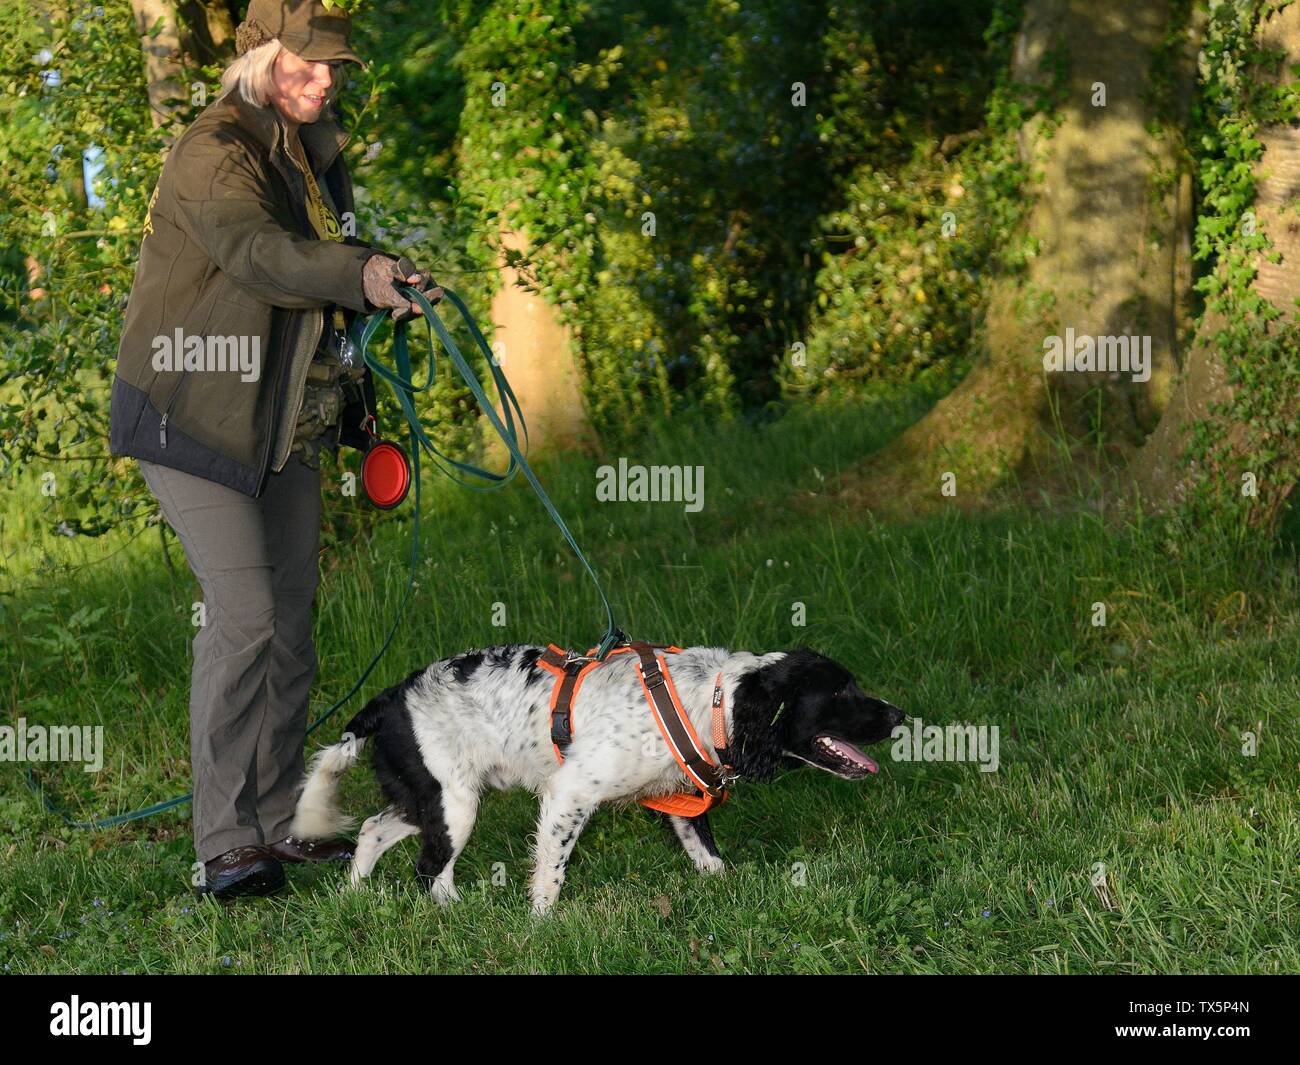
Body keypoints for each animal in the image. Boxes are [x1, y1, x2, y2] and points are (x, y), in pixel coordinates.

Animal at [292, 644, 904, 910]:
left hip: (432, 800)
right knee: (429, 873)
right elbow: (551, 873)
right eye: (841, 692)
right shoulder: (569, 795)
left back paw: (354, 893)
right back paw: (453, 913)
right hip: (455, 806)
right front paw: (540, 925)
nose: (899, 714)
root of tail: (391, 697)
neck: (712, 700)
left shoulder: (681, 800)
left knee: (371, 829)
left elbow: (707, 856)